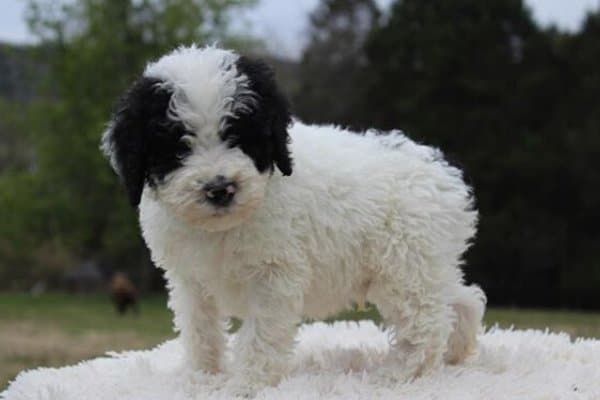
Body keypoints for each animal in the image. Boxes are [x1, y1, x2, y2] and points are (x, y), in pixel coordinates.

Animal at [101, 45, 486, 396]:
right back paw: (456, 352)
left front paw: (246, 386)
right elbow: (200, 329)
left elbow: (260, 335)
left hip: (406, 265)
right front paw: (201, 378)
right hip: (424, 267)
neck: (225, 225)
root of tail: (443, 174)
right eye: (178, 147)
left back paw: (398, 377)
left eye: (239, 137)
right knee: (460, 301)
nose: (219, 188)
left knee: (426, 323)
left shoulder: (273, 277)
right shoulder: (190, 280)